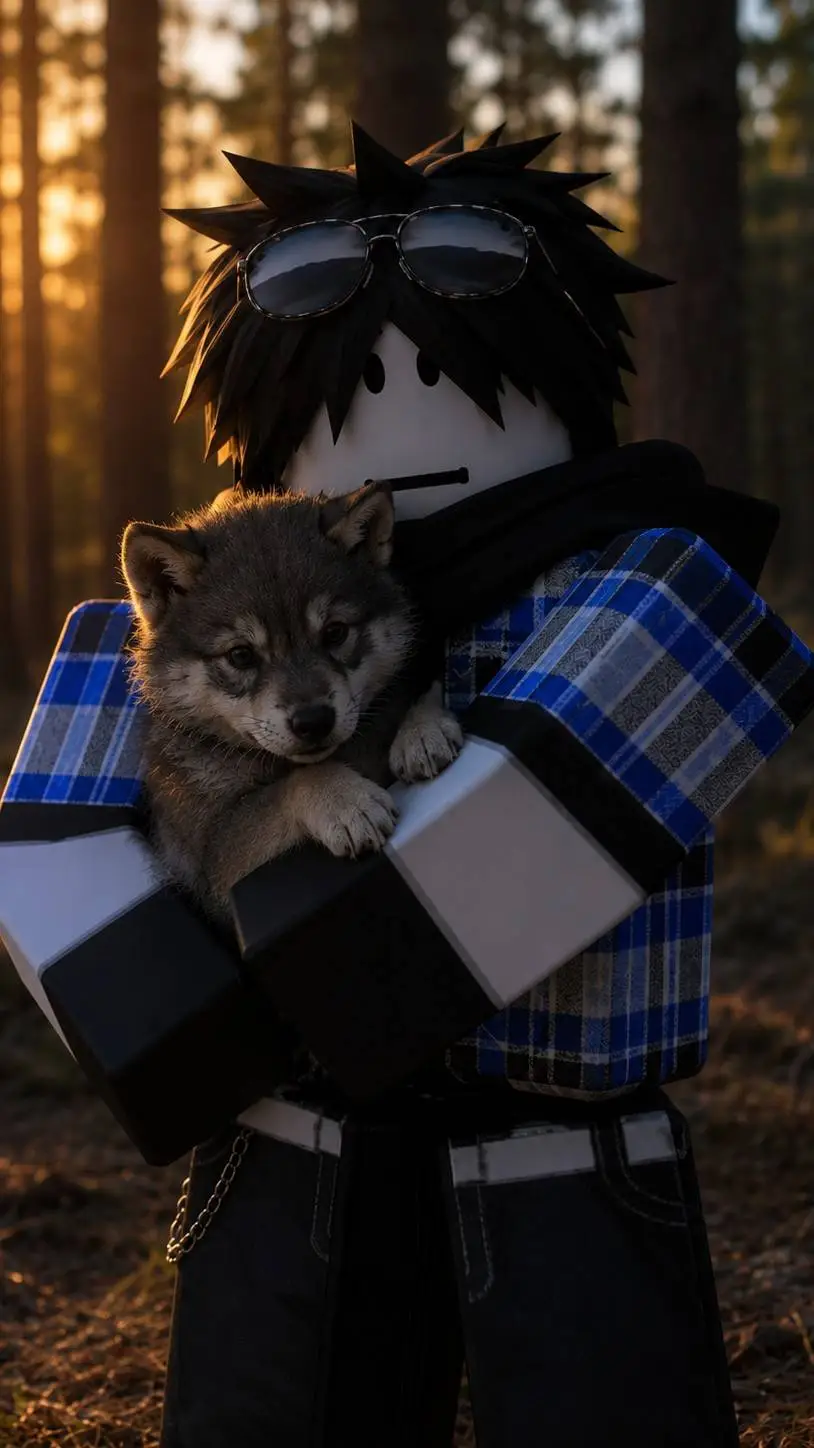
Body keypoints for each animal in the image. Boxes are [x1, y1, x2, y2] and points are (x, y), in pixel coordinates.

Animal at [122, 482, 462, 919]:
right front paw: (344, 799)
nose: (314, 720)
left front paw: (422, 728)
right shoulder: (217, 864)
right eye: (240, 655)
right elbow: (292, 785)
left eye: (335, 632)